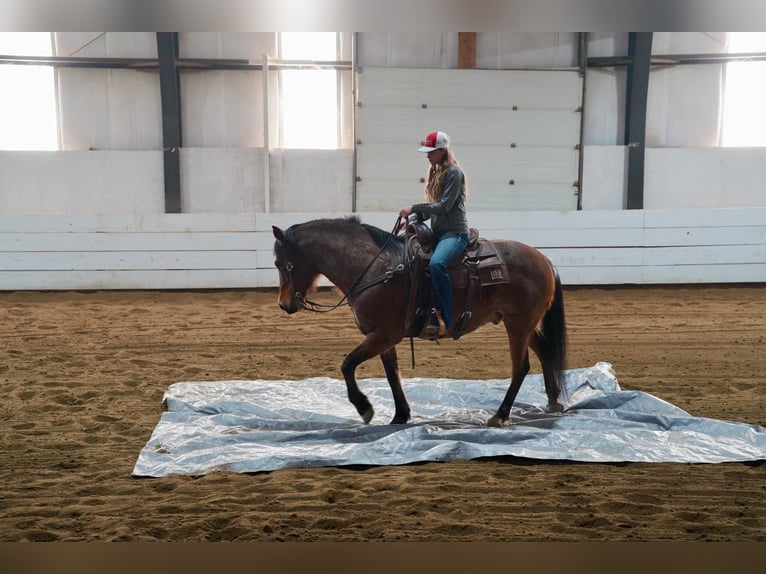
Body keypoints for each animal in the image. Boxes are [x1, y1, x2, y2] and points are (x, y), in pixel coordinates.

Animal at [272, 218, 568, 430]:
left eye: (281, 263)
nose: (284, 305)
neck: (375, 268)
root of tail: (545, 259)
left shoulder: (386, 334)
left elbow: (348, 364)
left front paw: (364, 408)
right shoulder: (382, 336)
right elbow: (392, 374)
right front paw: (400, 416)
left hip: (518, 325)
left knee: (521, 367)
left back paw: (501, 414)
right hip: (522, 324)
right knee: (545, 352)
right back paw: (553, 401)